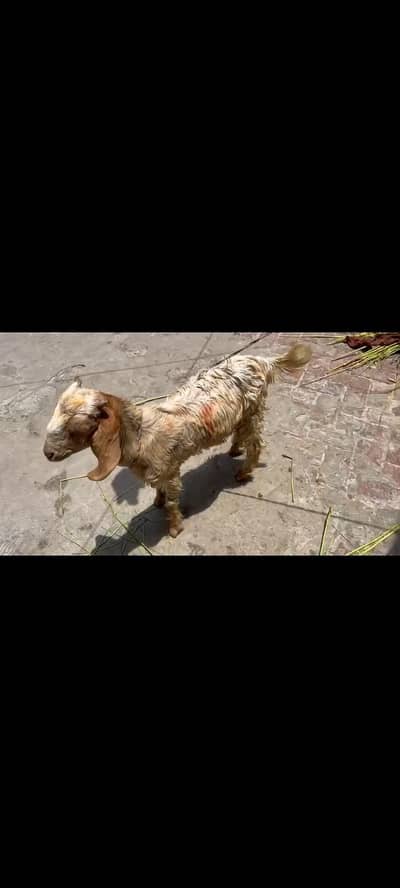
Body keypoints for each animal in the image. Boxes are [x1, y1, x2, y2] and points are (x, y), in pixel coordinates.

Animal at [43, 344, 311, 537]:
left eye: (75, 426)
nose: (48, 454)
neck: (142, 435)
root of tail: (262, 361)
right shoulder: (158, 470)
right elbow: (159, 490)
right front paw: (157, 502)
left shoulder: (170, 471)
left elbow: (173, 501)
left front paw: (173, 528)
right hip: (244, 414)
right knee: (242, 435)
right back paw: (234, 450)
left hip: (254, 410)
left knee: (256, 443)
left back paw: (243, 473)